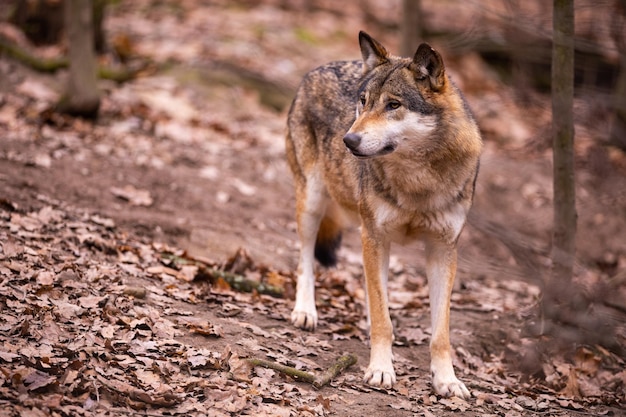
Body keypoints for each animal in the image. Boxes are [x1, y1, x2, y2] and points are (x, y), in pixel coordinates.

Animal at [284, 31, 482, 396]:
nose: (349, 139)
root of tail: (317, 68)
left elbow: (440, 333)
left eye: (393, 105)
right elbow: (382, 319)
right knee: (305, 259)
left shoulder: (443, 250)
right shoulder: (374, 235)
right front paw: (380, 370)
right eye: (363, 101)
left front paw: (447, 380)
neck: (418, 181)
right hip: (313, 201)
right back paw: (304, 310)